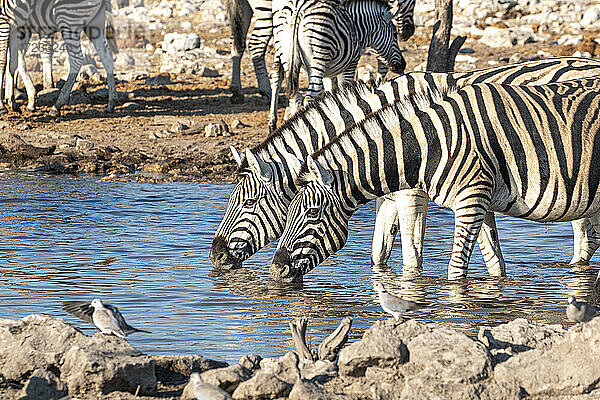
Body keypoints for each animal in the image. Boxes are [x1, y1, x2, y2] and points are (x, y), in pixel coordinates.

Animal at [209, 57, 600, 276]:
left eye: (248, 203)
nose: (215, 258)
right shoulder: (391, 194)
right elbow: (380, 252)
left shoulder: (413, 194)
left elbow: (412, 255)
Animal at [268, 0, 412, 133]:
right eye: (395, 35)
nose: (403, 65)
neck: (356, 28)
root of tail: (297, 11)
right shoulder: (350, 65)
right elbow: (344, 93)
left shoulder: (329, 73)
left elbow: (330, 94)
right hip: (318, 56)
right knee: (310, 96)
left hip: (285, 55)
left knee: (286, 88)